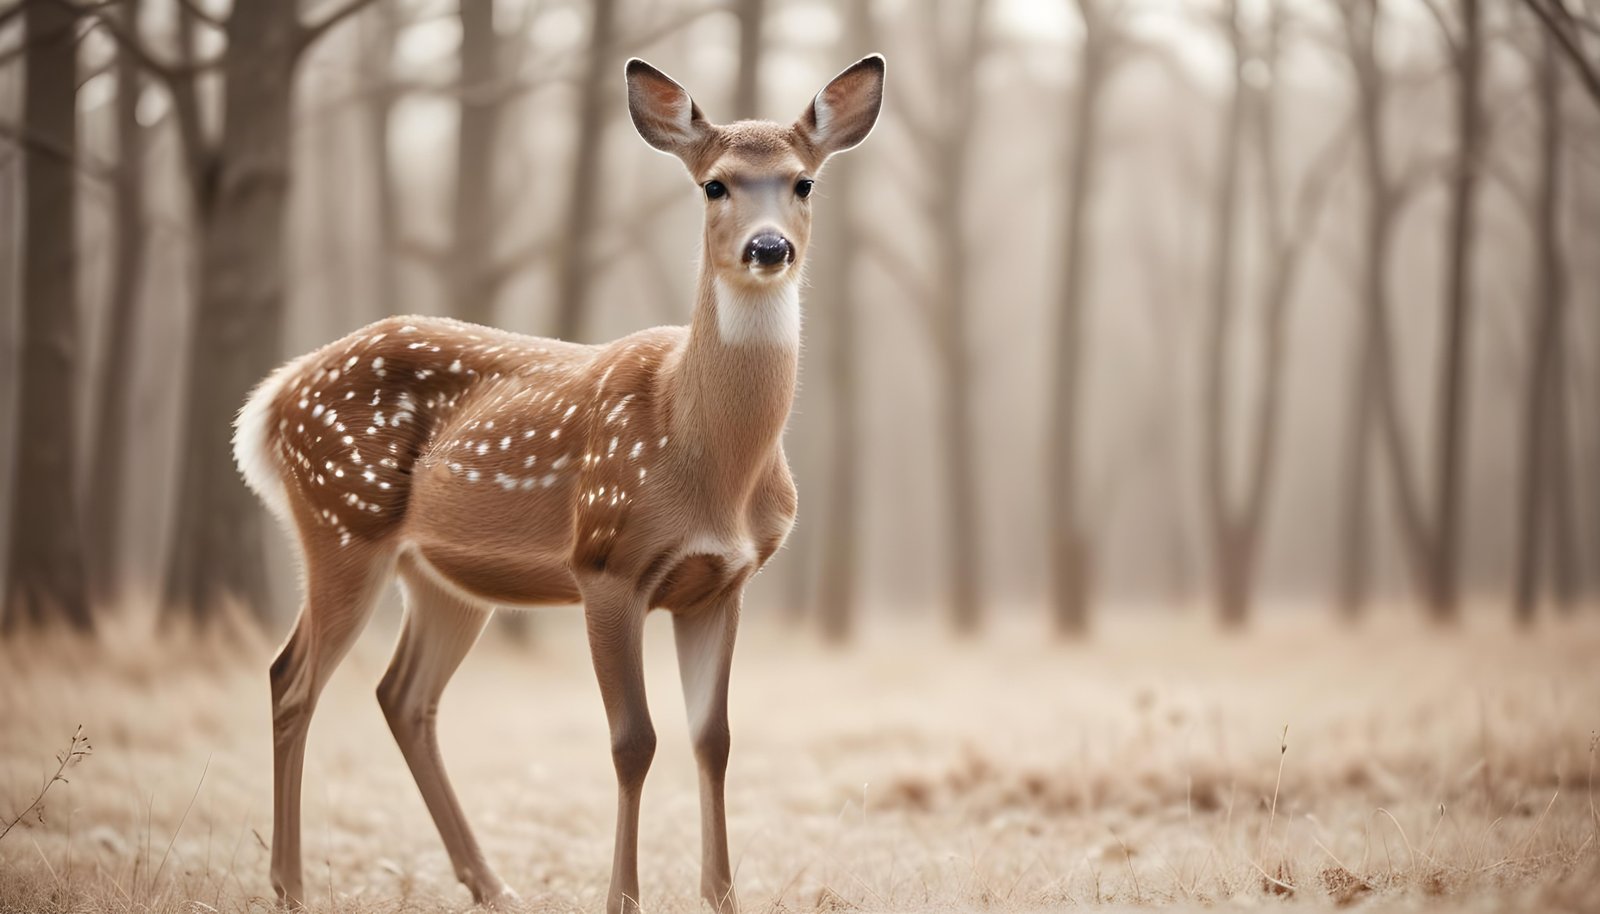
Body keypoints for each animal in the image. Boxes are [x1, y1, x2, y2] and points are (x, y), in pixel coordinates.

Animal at [232, 55, 885, 913]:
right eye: (714, 185)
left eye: (803, 181)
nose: (768, 246)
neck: (706, 460)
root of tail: (271, 400)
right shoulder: (605, 559)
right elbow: (634, 741)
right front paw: (623, 899)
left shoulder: (722, 583)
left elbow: (713, 739)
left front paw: (721, 897)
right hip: (342, 519)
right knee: (292, 678)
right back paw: (291, 885)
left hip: (442, 575)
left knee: (402, 696)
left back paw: (491, 885)